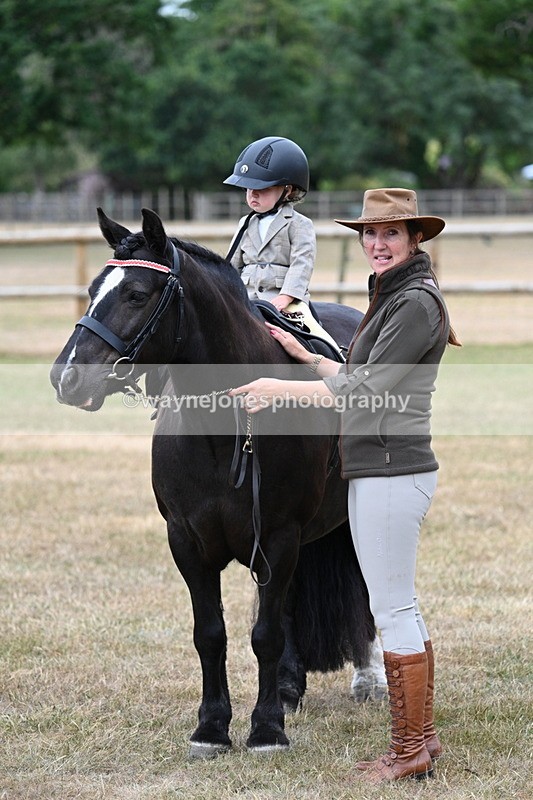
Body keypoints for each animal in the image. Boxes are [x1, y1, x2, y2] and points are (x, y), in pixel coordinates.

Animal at [50, 208, 381, 757]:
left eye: (136, 294)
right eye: (95, 288)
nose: (66, 378)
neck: (224, 428)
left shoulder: (279, 536)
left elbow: (264, 634)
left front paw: (266, 730)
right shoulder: (188, 541)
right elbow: (211, 633)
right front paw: (212, 726)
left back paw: (369, 678)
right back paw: (289, 686)